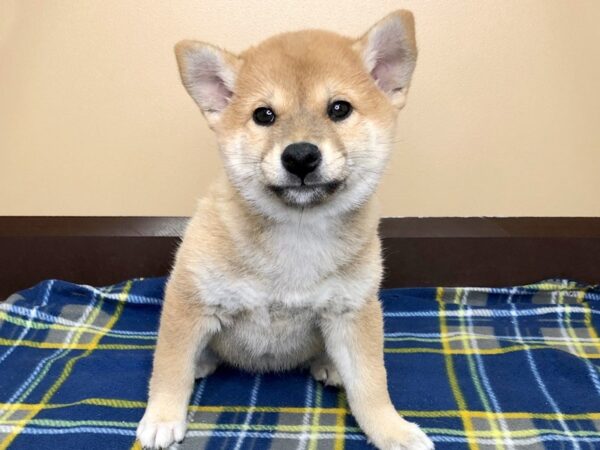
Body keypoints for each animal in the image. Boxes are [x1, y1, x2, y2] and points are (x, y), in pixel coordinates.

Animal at [136, 10, 432, 450]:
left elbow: (371, 384)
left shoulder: (352, 311)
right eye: (264, 115)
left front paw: (391, 429)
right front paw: (162, 417)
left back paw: (329, 364)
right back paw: (202, 360)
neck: (298, 232)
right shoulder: (190, 299)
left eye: (339, 108)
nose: (300, 156)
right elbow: (169, 365)